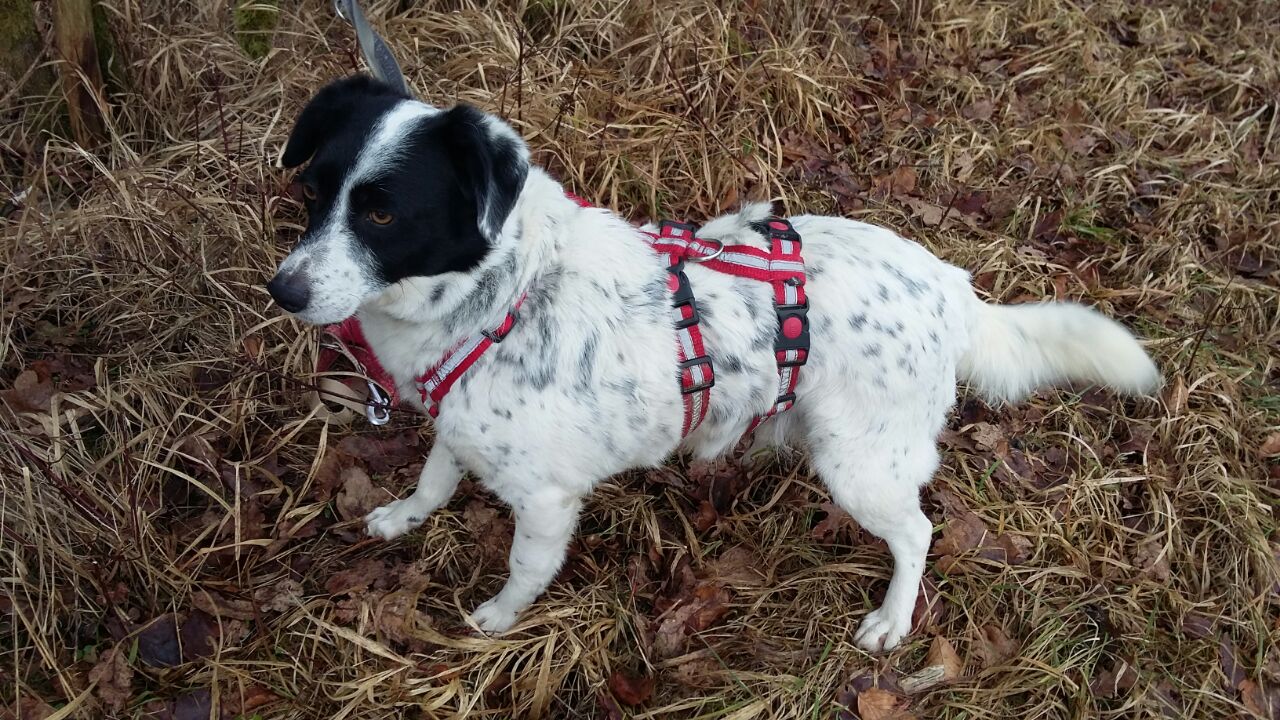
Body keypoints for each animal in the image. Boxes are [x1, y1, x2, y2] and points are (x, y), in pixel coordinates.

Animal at [267, 74, 1160, 651]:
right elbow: (434, 479)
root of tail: (951, 288)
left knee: (918, 532)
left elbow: (524, 571)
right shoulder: (457, 423)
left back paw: (892, 620)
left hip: (860, 464)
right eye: (314, 192)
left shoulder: (548, 502)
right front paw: (401, 518)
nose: (283, 290)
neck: (504, 295)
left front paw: (495, 620)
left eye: (383, 214)